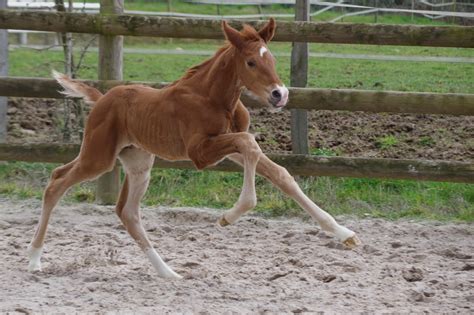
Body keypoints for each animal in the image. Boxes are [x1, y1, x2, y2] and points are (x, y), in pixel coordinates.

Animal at [27, 19, 362, 280]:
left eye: (273, 61)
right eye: (251, 62)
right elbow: (251, 145)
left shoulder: (227, 144)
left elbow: (279, 172)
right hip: (99, 157)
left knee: (127, 212)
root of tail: (102, 98)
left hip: (138, 162)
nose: (280, 95)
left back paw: (168, 272)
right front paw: (230, 215)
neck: (213, 98)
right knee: (57, 181)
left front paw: (345, 234)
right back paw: (35, 259)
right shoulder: (201, 153)